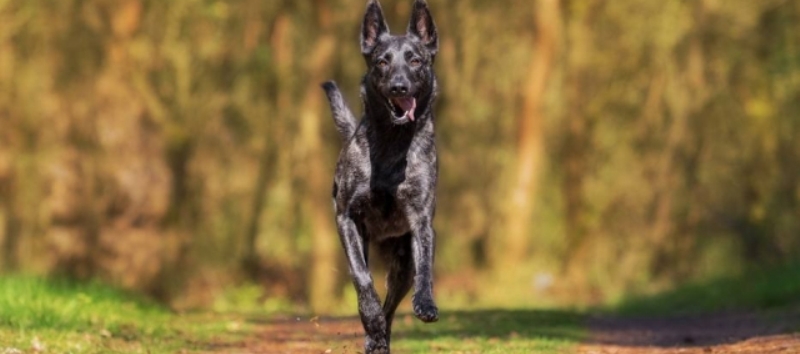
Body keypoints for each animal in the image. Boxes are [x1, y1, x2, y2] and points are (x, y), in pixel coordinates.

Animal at [322, 1, 440, 352]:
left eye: (415, 60)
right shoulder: (347, 218)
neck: (392, 143)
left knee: (392, 304)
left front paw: (425, 303)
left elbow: (425, 268)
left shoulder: (421, 221)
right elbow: (362, 279)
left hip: (401, 264)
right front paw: (369, 316)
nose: (399, 86)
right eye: (382, 61)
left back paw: (380, 338)